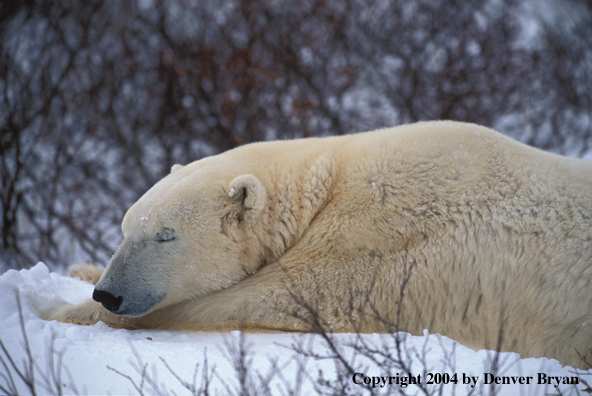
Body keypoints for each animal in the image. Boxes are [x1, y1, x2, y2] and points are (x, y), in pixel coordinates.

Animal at [42, 120, 592, 368]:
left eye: (164, 235)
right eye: (125, 229)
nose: (110, 292)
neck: (328, 184)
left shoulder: (381, 238)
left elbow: (269, 297)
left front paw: (52, 308)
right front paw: (78, 272)